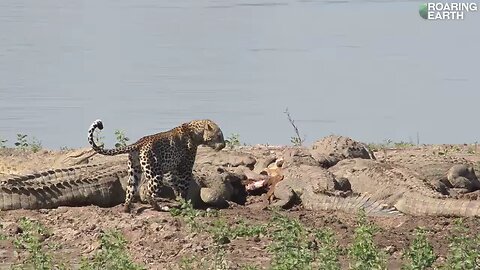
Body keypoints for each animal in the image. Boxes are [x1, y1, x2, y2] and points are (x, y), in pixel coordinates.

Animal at [87, 119, 226, 212]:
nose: (224, 145)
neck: (195, 132)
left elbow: (175, 185)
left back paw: (127, 208)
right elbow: (184, 186)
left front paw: (180, 200)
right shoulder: (185, 167)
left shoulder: (172, 170)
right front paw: (186, 204)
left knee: (130, 190)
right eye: (219, 135)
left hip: (134, 171)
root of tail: (139, 143)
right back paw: (160, 208)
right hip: (155, 174)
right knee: (149, 193)